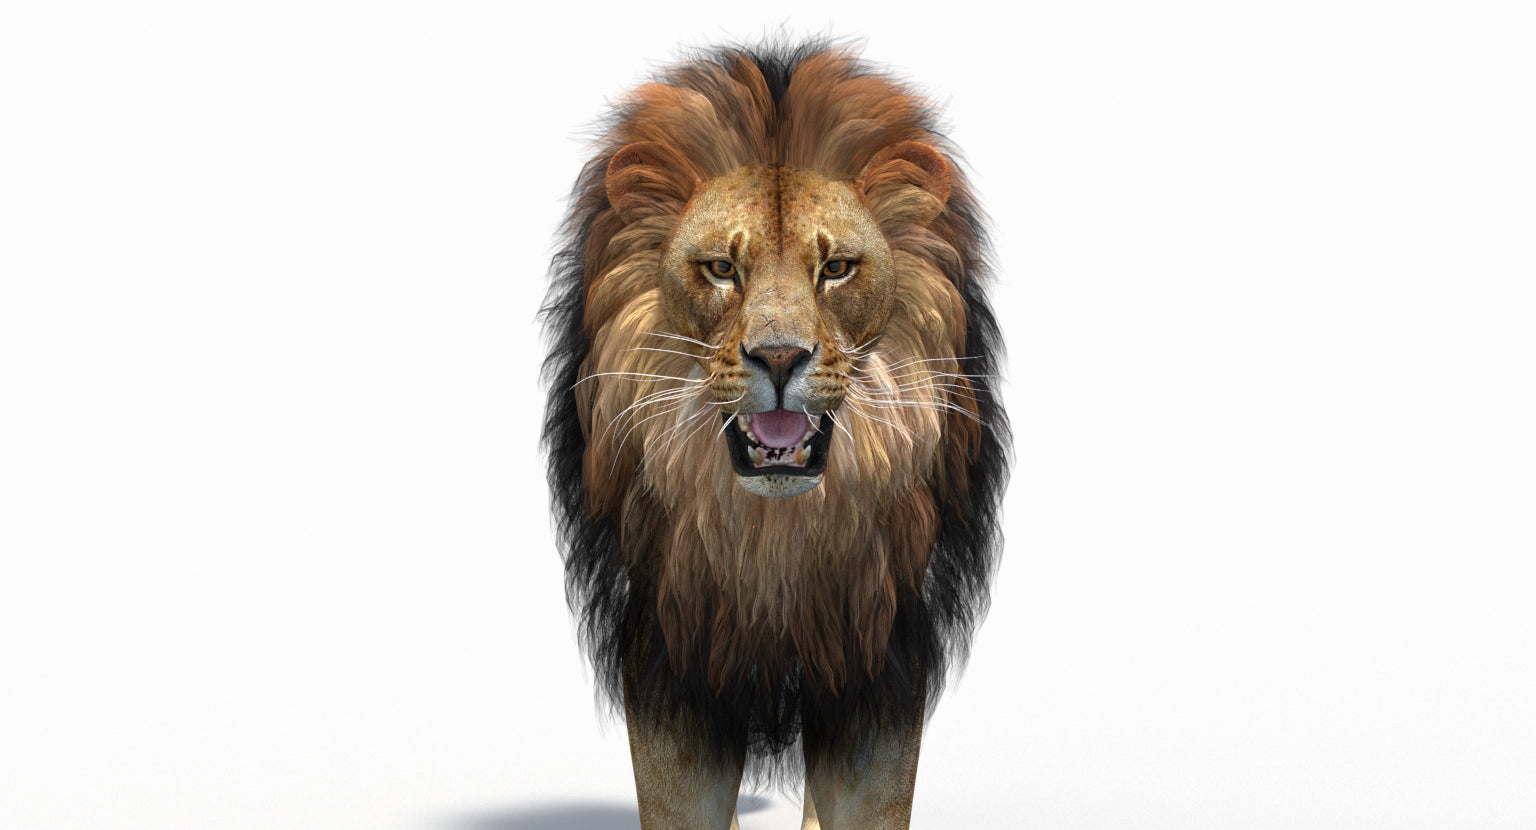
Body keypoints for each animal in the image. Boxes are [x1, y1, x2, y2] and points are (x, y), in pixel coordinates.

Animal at [542, 40, 1008, 829]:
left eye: (837, 268)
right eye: (722, 269)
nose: (782, 358)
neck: (774, 544)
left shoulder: (878, 664)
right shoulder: (670, 660)